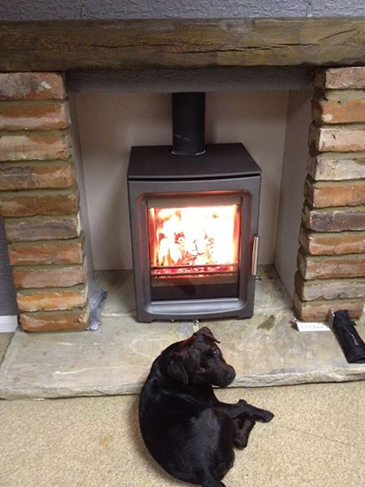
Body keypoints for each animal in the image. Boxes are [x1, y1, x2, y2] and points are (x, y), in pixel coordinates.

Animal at [139, 326, 272, 486]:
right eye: (200, 369)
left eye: (215, 351)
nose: (230, 375)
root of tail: (203, 473)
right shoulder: (216, 405)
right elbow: (243, 408)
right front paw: (263, 413)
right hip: (214, 414)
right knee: (240, 439)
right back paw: (247, 421)